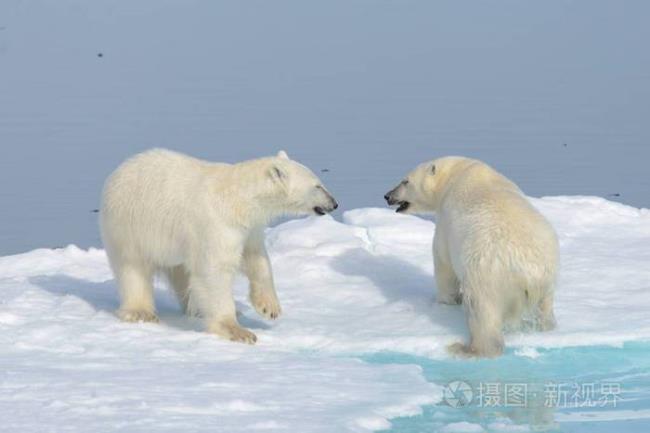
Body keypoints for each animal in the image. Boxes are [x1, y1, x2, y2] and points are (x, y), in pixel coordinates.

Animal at [100, 148, 340, 344]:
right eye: (318, 185)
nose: (335, 203)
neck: (238, 200)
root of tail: (119, 169)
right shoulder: (217, 224)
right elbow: (215, 271)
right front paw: (238, 331)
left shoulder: (248, 228)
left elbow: (256, 258)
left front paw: (269, 307)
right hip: (130, 226)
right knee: (133, 268)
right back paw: (140, 312)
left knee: (183, 271)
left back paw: (197, 308)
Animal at [384, 157, 556, 356]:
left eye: (405, 181)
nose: (387, 196)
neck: (454, 174)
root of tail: (527, 272)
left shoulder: (446, 222)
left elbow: (444, 263)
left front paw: (447, 300)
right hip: (547, 279)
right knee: (545, 308)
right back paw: (546, 327)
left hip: (487, 276)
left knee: (481, 312)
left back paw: (467, 348)